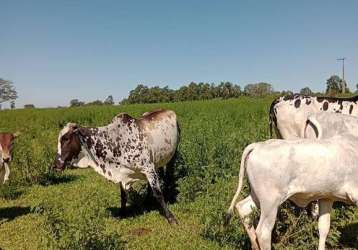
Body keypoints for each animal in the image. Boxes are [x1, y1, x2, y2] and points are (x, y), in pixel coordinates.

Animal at [52, 109, 182, 225]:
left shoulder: (148, 168)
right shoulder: (123, 174)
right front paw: (122, 214)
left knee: (168, 175)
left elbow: (158, 194)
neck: (115, 142)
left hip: (172, 156)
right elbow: (123, 196)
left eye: (66, 139)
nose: (56, 164)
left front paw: (171, 218)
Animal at [225, 136, 358, 250]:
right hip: (270, 202)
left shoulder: (327, 197)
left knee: (243, 208)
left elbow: (323, 228)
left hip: (257, 196)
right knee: (263, 231)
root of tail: (258, 145)